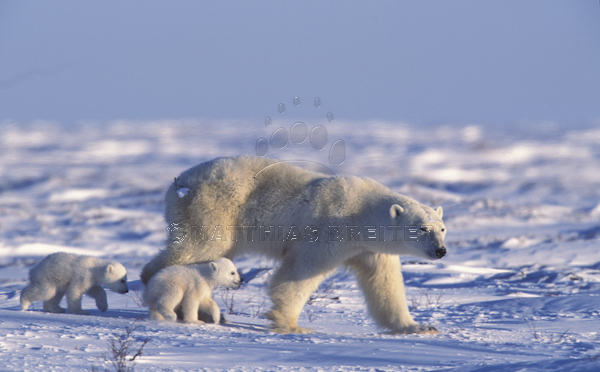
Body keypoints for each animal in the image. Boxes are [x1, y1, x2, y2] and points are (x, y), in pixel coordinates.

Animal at [142, 157, 446, 334]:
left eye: (442, 229)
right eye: (422, 228)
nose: (441, 251)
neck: (360, 212)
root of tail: (180, 182)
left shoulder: (368, 248)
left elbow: (385, 284)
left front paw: (419, 326)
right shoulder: (329, 230)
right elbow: (301, 271)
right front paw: (290, 324)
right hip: (216, 206)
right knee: (201, 246)